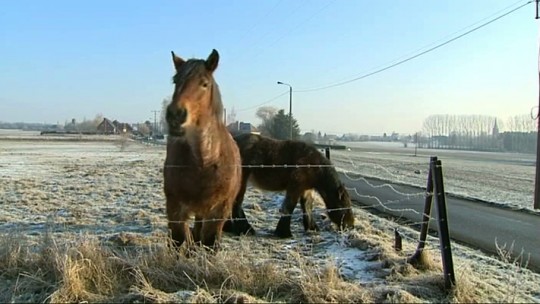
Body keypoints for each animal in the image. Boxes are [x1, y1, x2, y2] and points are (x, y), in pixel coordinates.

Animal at [163, 49, 242, 249]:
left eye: (204, 84)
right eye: (175, 81)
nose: (175, 115)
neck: (203, 161)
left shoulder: (219, 211)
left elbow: (210, 242)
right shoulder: (175, 208)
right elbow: (179, 240)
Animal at [224, 133, 354, 238]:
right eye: (344, 206)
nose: (351, 225)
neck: (313, 164)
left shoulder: (306, 189)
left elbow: (307, 206)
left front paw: (311, 227)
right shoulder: (295, 186)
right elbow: (289, 206)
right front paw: (284, 232)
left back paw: (229, 227)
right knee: (236, 203)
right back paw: (245, 229)